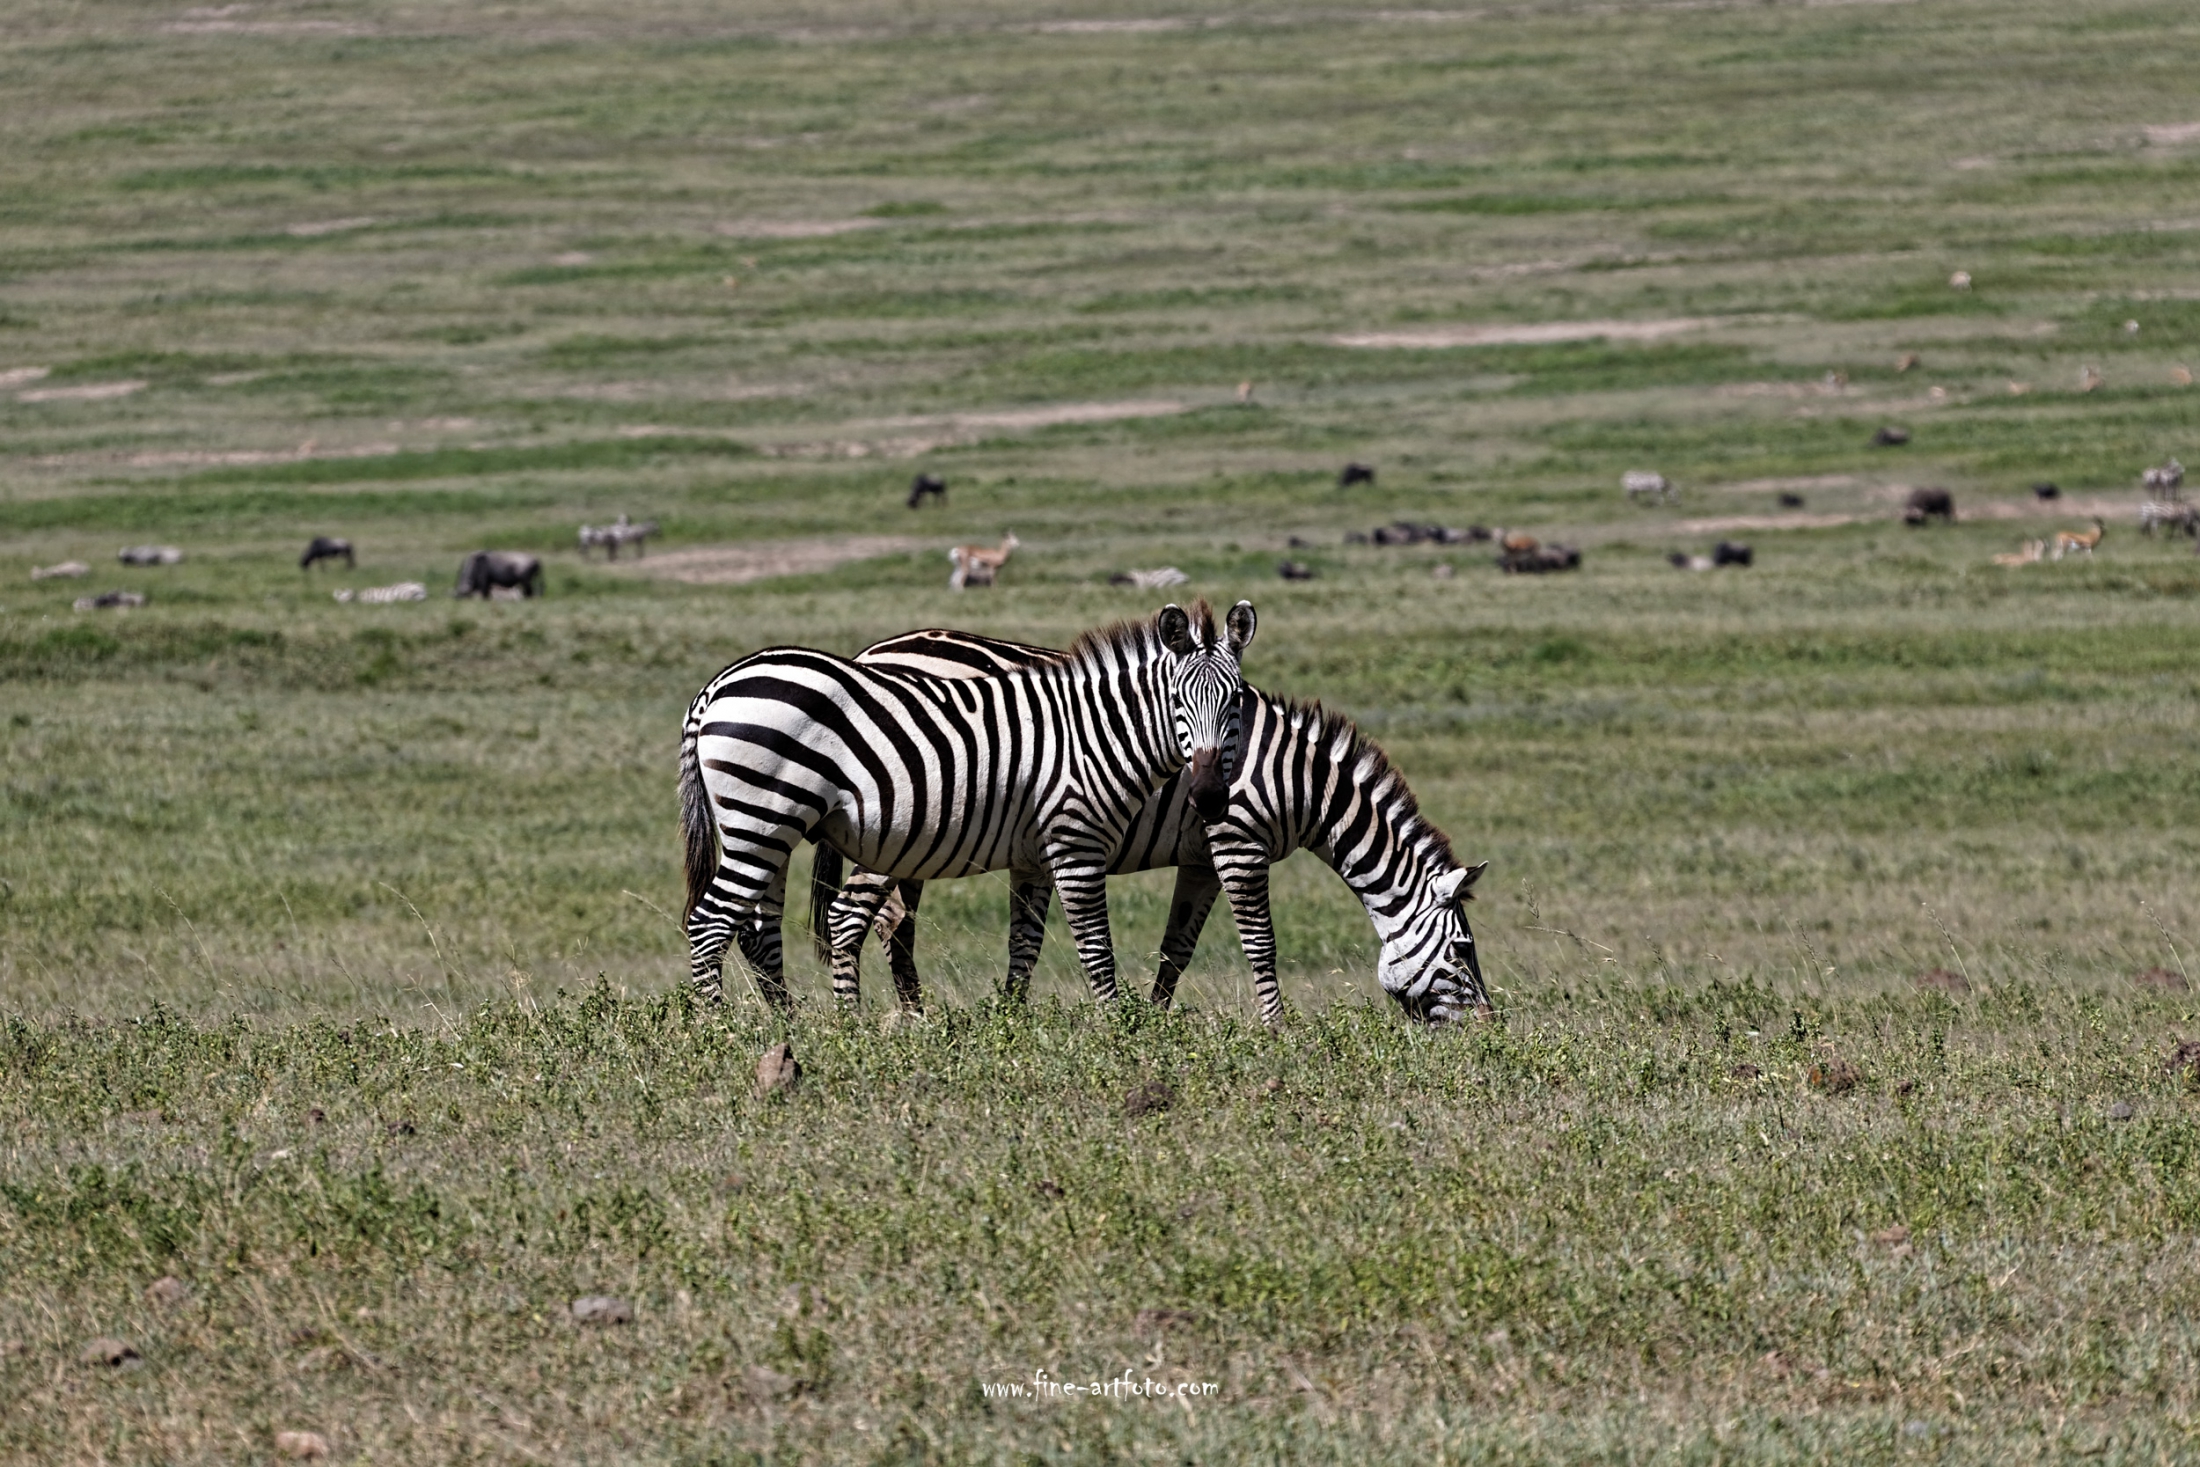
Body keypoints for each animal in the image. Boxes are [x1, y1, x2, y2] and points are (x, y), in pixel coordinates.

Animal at [680, 601, 1255, 1008]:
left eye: (1235, 701)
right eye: (1178, 701)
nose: (1208, 797)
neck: (1093, 733)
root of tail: (715, 688)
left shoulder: (1035, 852)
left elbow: (1027, 944)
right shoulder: (1081, 840)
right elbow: (1102, 948)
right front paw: (1121, 1032)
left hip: (767, 827)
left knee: (757, 930)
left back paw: (789, 1028)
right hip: (774, 820)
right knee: (712, 923)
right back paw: (722, 1029)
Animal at [811, 630, 1489, 1026]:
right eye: (1461, 950)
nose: (1488, 1027)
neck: (1300, 779)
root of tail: (870, 653)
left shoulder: (1201, 857)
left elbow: (1177, 947)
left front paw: (1157, 1020)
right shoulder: (1237, 841)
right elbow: (1260, 942)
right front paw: (1276, 1029)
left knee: (895, 922)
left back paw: (913, 1014)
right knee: (869, 920)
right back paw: (893, 1021)